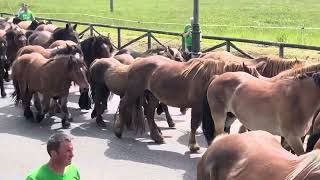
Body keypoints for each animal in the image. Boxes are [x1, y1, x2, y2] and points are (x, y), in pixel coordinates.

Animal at [115, 56, 255, 152]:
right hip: (134, 92)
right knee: (123, 105)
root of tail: (137, 62)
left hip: (152, 95)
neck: (209, 78)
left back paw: (157, 137)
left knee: (149, 114)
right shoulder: (197, 107)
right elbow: (194, 125)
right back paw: (118, 131)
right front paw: (193, 146)